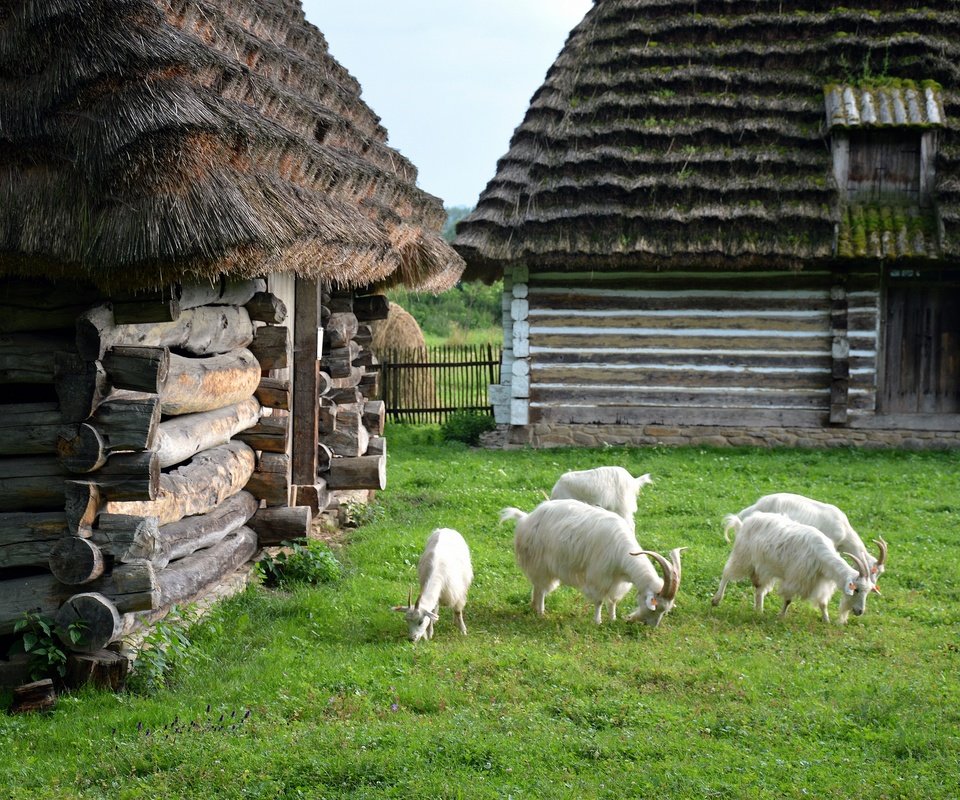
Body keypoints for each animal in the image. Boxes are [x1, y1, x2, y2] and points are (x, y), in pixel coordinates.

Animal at [498, 500, 688, 624]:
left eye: (666, 610)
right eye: (655, 607)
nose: (651, 625)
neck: (623, 554)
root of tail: (525, 518)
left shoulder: (616, 581)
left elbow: (612, 601)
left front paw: (613, 618)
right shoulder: (599, 576)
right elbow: (599, 601)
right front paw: (597, 621)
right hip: (540, 564)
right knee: (540, 588)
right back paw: (541, 612)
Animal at [712, 512, 876, 624]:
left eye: (868, 591)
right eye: (856, 589)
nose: (860, 611)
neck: (821, 556)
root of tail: (744, 523)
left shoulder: (820, 581)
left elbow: (823, 603)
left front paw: (826, 620)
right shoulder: (795, 578)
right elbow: (788, 600)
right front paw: (781, 616)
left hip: (765, 567)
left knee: (759, 589)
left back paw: (759, 611)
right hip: (743, 557)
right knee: (727, 573)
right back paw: (716, 600)